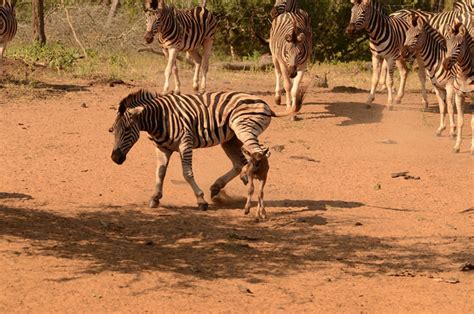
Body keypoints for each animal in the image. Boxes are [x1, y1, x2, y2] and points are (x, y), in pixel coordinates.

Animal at [109, 89, 306, 211]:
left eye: (127, 130)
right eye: (112, 130)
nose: (115, 158)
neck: (160, 117)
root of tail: (265, 104)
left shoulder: (186, 142)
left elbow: (187, 173)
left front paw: (200, 200)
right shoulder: (162, 148)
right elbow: (160, 172)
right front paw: (155, 197)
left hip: (244, 128)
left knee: (259, 154)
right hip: (230, 138)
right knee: (240, 162)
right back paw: (218, 188)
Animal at [402, 13, 468, 153]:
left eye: (417, 35)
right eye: (406, 33)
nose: (403, 53)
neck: (437, 59)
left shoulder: (450, 86)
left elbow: (450, 107)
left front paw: (452, 131)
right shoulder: (438, 87)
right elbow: (442, 107)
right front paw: (441, 129)